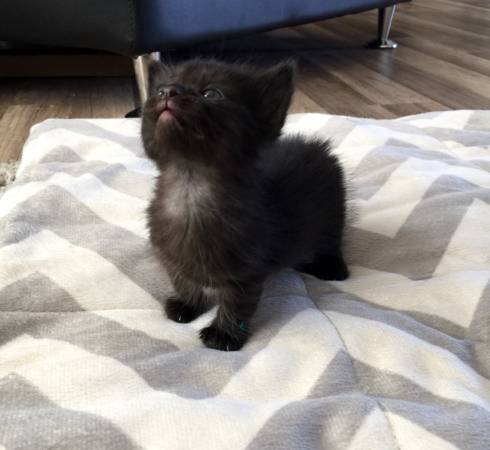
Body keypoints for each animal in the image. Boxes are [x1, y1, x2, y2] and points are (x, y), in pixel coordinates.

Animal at [142, 57, 348, 352]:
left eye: (211, 93)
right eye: (158, 90)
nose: (168, 92)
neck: (190, 187)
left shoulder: (248, 268)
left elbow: (237, 302)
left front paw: (224, 334)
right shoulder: (170, 255)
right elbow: (183, 280)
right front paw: (187, 304)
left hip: (333, 212)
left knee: (332, 241)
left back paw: (334, 267)